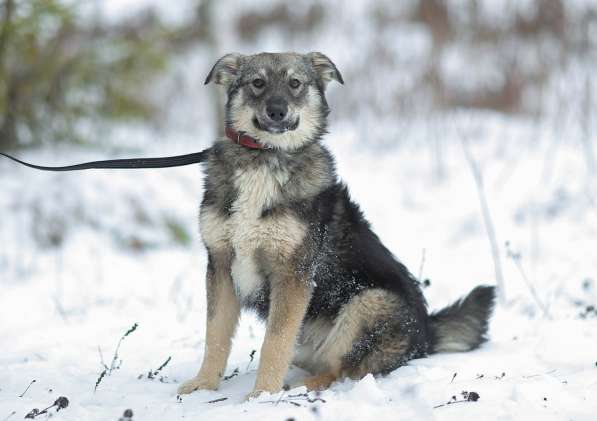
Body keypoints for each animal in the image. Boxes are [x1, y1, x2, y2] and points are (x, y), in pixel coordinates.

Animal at [179, 51, 496, 398]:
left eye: (295, 83)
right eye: (257, 83)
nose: (277, 111)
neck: (265, 160)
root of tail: (426, 335)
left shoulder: (293, 274)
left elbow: (275, 342)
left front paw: (262, 394)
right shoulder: (221, 265)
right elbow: (215, 336)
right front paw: (203, 384)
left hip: (367, 302)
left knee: (339, 370)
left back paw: (300, 388)